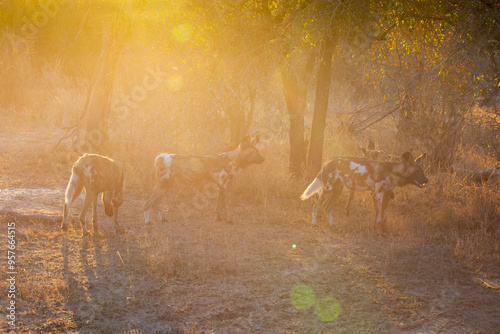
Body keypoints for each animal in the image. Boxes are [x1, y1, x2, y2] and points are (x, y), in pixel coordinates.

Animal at [298, 153, 428, 234]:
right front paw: (379, 232)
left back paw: (332, 225)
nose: (427, 180)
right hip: (328, 188)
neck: (393, 173)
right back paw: (314, 223)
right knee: (316, 205)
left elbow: (383, 217)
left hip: (337, 190)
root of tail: (329, 160)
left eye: (422, 171)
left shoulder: (386, 197)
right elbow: (379, 217)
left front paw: (383, 231)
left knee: (327, 207)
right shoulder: (378, 195)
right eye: (417, 172)